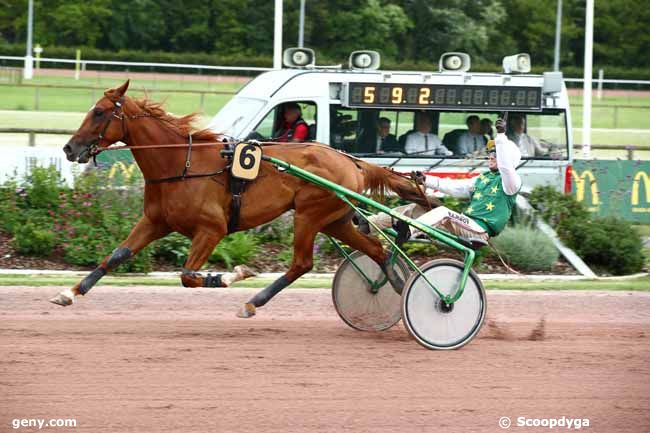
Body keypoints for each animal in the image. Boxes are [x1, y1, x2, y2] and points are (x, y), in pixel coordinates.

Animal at [54, 82, 430, 318]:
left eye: (100, 112)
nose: (69, 148)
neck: (181, 164)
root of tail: (352, 161)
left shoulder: (212, 229)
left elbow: (188, 275)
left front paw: (234, 274)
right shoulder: (155, 221)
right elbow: (117, 255)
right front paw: (69, 293)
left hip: (309, 215)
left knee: (302, 264)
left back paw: (252, 302)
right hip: (335, 220)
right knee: (377, 250)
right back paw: (398, 288)